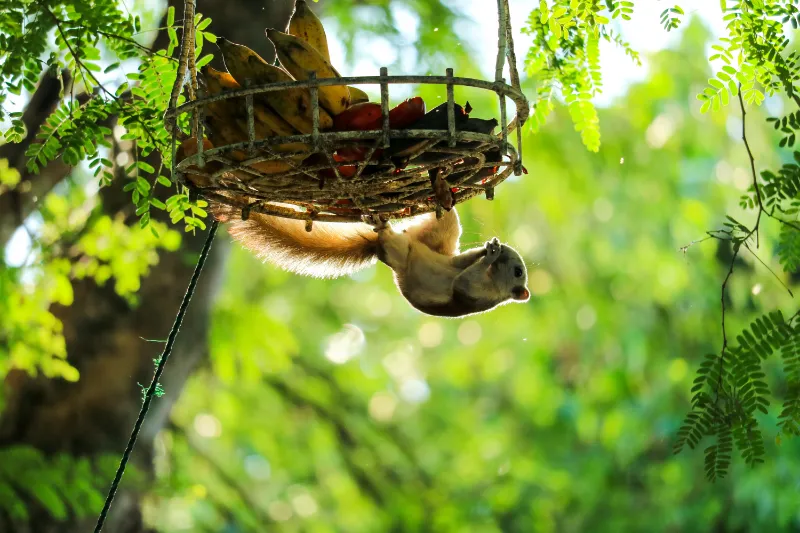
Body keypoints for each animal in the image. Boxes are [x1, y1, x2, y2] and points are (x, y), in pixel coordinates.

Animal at [211, 206, 532, 316]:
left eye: (518, 271)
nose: (503, 250)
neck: (493, 282)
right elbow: (463, 264)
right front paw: (490, 248)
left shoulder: (478, 296)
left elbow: (462, 285)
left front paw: (491, 255)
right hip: (433, 237)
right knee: (447, 228)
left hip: (401, 249)